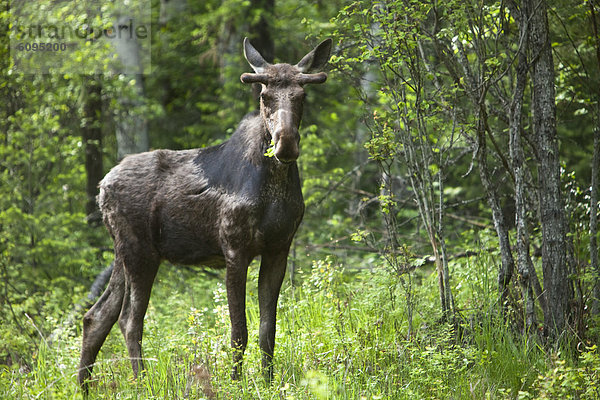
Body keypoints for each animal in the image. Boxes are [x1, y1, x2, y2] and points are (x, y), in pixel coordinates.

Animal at [77, 36, 330, 392]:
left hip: (122, 253)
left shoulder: (279, 249)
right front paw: (236, 384)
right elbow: (239, 331)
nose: (286, 144)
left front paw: (268, 383)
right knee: (129, 320)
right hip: (140, 253)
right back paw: (143, 383)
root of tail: (101, 188)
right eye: (264, 95)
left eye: (302, 96)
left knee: (96, 316)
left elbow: (268, 331)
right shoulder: (234, 249)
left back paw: (83, 386)